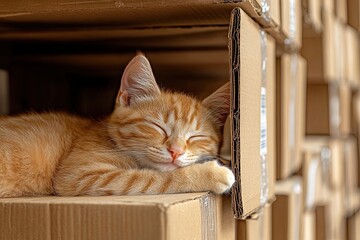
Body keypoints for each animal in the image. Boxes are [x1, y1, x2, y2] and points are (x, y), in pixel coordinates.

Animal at [0, 53, 235, 198]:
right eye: (157, 127)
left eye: (196, 137)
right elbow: (154, 178)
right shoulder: (78, 175)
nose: (175, 152)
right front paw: (210, 174)